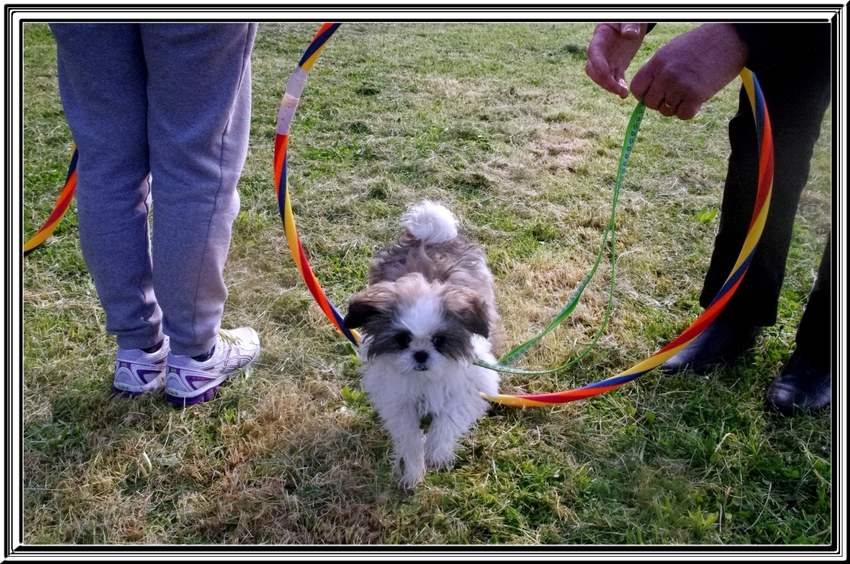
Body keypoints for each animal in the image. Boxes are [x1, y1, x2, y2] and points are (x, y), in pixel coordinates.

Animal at [344, 200, 500, 486]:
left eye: (439, 340)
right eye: (402, 340)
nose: (420, 355)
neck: (425, 380)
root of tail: (429, 236)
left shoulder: (471, 386)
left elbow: (449, 419)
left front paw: (437, 452)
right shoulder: (397, 400)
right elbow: (408, 435)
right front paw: (413, 468)